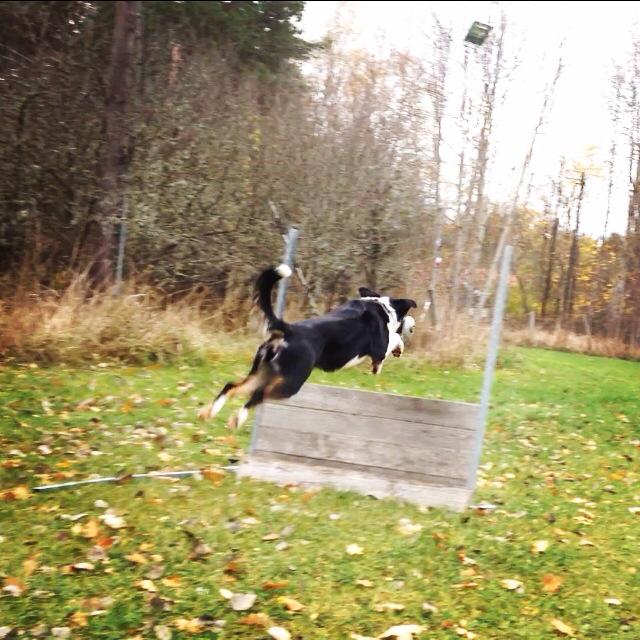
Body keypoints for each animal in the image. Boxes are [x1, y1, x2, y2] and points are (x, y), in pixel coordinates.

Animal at [198, 264, 417, 429]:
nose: (413, 325)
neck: (382, 307)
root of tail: (288, 330)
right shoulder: (379, 347)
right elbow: (394, 339)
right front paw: (394, 352)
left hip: (262, 372)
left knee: (232, 386)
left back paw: (207, 413)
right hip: (291, 382)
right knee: (258, 394)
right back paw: (237, 419)